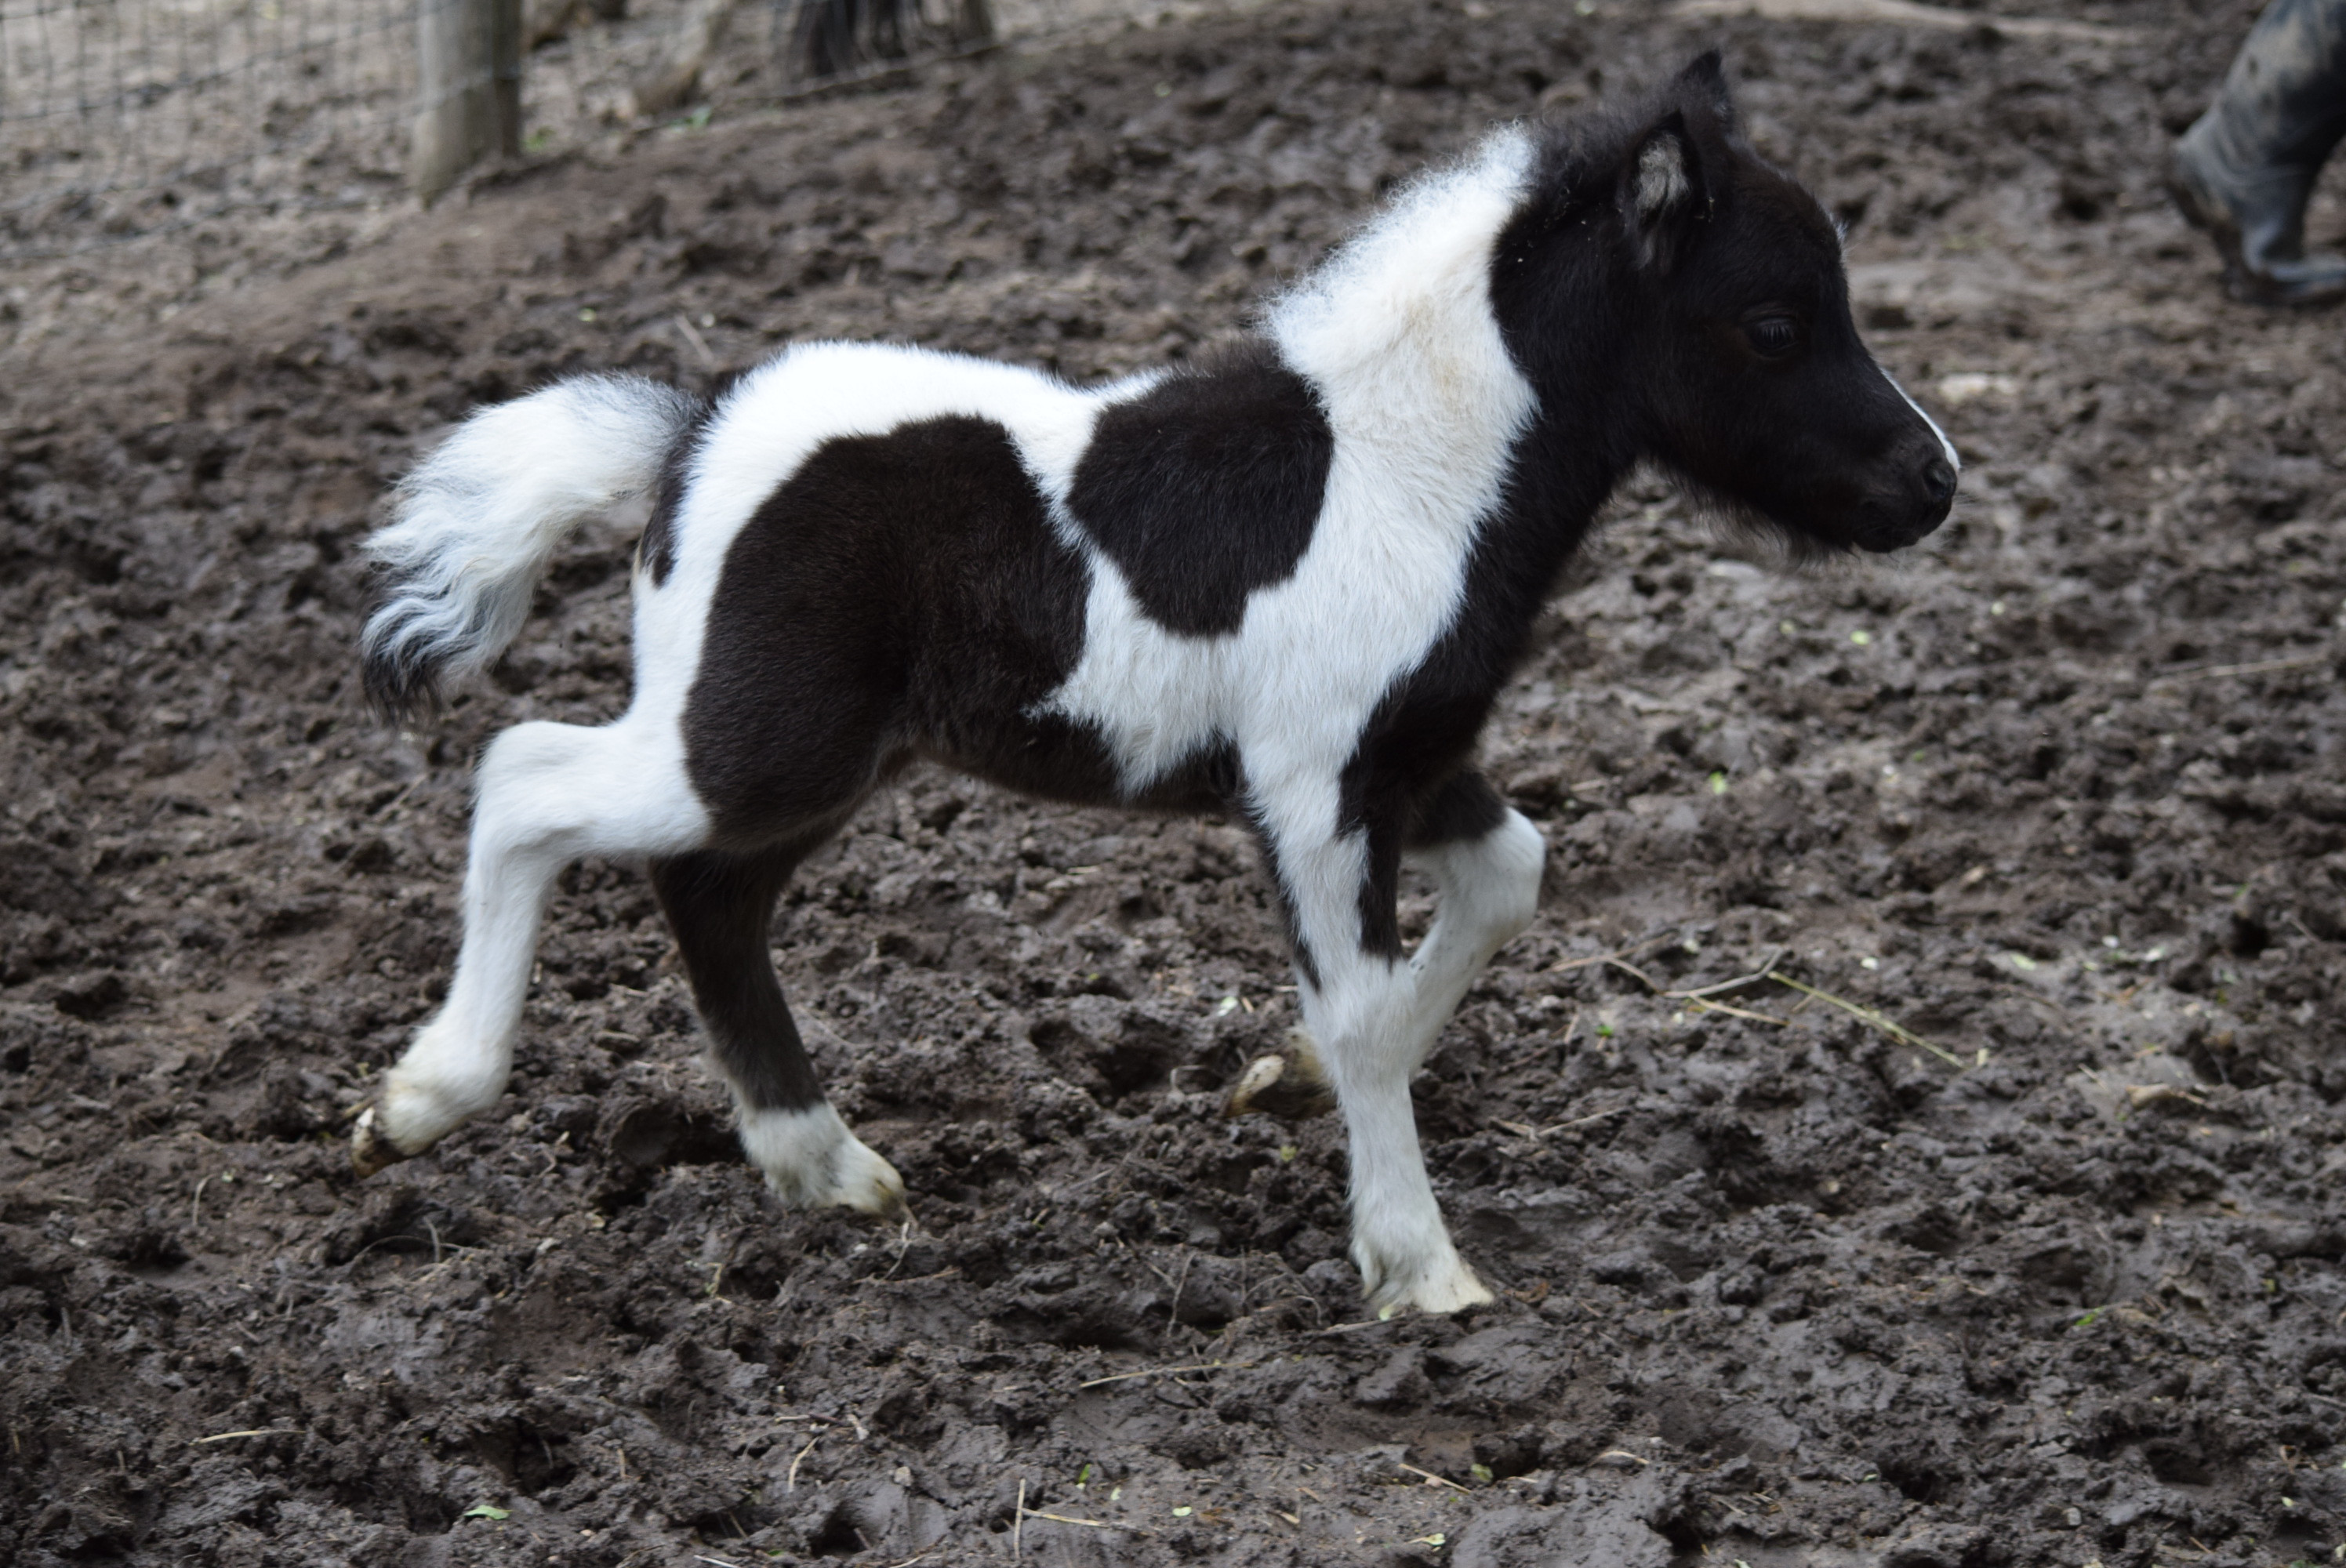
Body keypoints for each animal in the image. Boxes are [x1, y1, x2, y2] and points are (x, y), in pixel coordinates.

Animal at [349, 53, 1957, 1316]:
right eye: (1771, 323)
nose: (1932, 482)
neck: (1402, 475)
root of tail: (686, 439)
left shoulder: (1414, 763)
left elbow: (1504, 885)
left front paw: (1282, 1082)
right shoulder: (1316, 791)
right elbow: (1365, 1006)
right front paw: (1419, 1268)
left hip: (826, 763)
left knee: (708, 896)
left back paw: (827, 1170)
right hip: (752, 743)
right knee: (527, 779)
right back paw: (422, 1102)